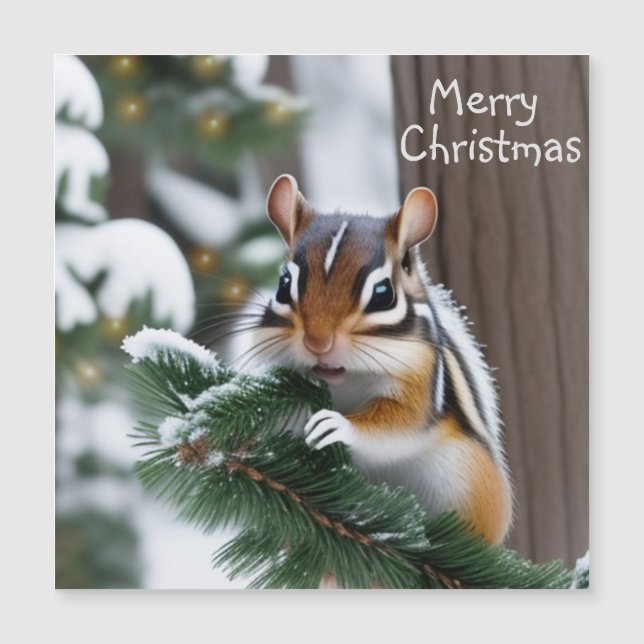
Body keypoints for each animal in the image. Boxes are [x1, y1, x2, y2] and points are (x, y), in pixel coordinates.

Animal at [250, 174, 513, 546]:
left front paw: (336, 425)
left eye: (383, 293)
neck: (344, 379)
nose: (318, 341)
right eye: (284, 284)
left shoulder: (421, 378)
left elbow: (400, 423)